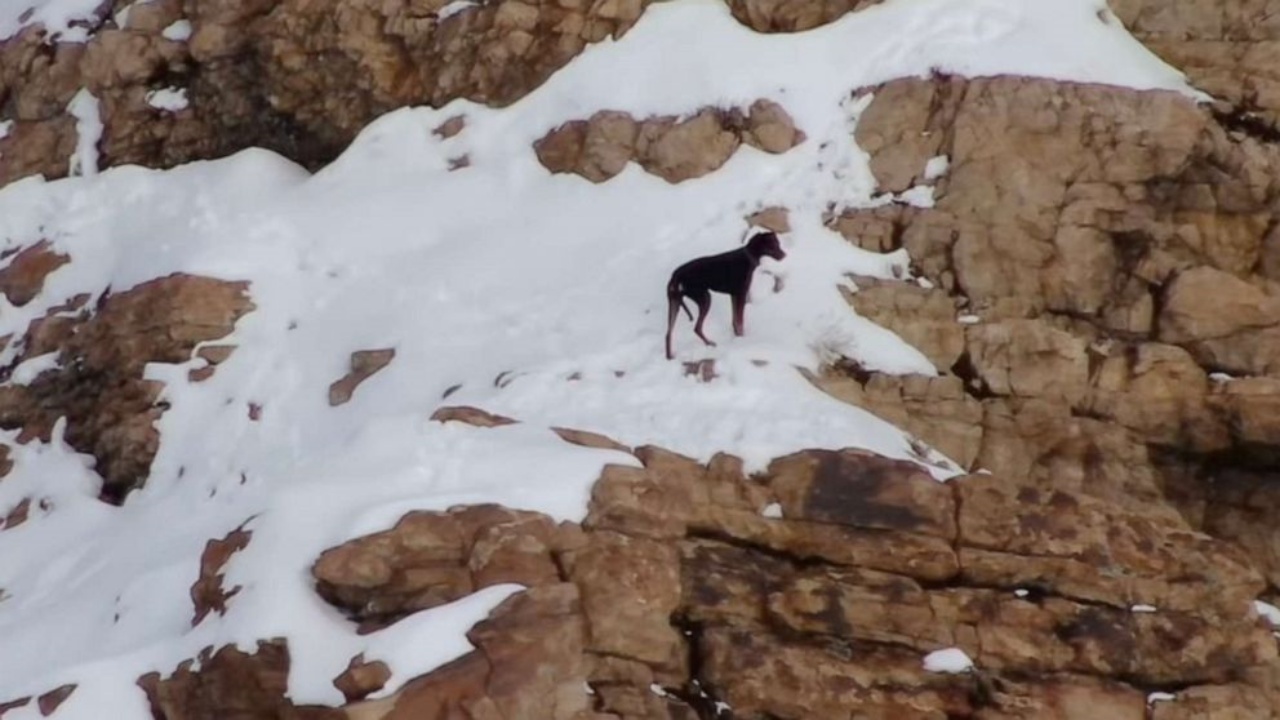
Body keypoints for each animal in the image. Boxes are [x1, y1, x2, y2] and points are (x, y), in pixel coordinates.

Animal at [665, 229, 783, 358]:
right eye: (773, 245)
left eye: (778, 243)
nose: (784, 255)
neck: (748, 257)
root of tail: (676, 276)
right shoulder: (741, 294)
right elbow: (740, 322)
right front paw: (742, 341)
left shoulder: (734, 295)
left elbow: (735, 321)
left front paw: (737, 338)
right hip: (704, 297)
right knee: (697, 328)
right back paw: (710, 344)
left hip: (675, 303)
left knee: (668, 333)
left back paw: (670, 356)